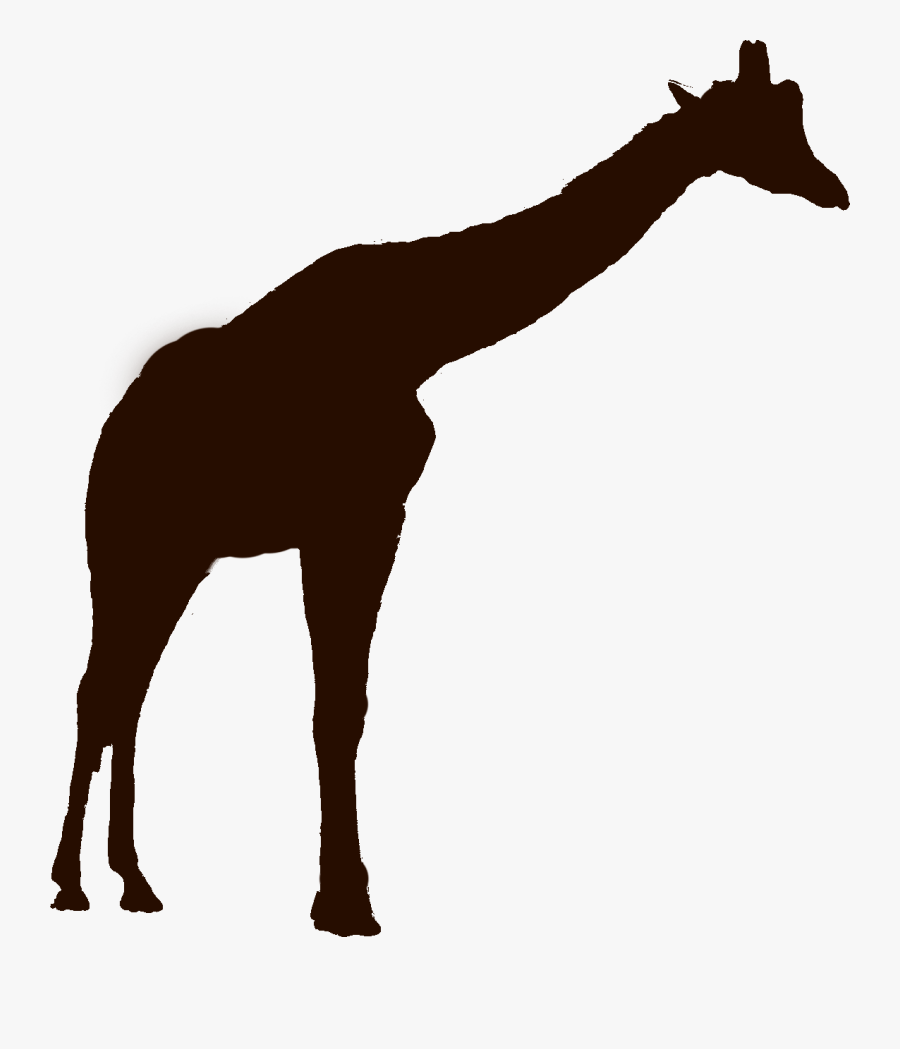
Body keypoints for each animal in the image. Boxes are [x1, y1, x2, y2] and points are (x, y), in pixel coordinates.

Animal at [51, 41, 848, 936]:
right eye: (759, 124)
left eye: (795, 109)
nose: (835, 188)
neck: (423, 334)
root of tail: (111, 434)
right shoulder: (352, 518)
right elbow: (338, 709)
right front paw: (347, 903)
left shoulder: (370, 519)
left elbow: (346, 705)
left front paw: (338, 895)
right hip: (129, 548)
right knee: (100, 691)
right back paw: (73, 883)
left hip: (183, 558)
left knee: (127, 694)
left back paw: (135, 881)